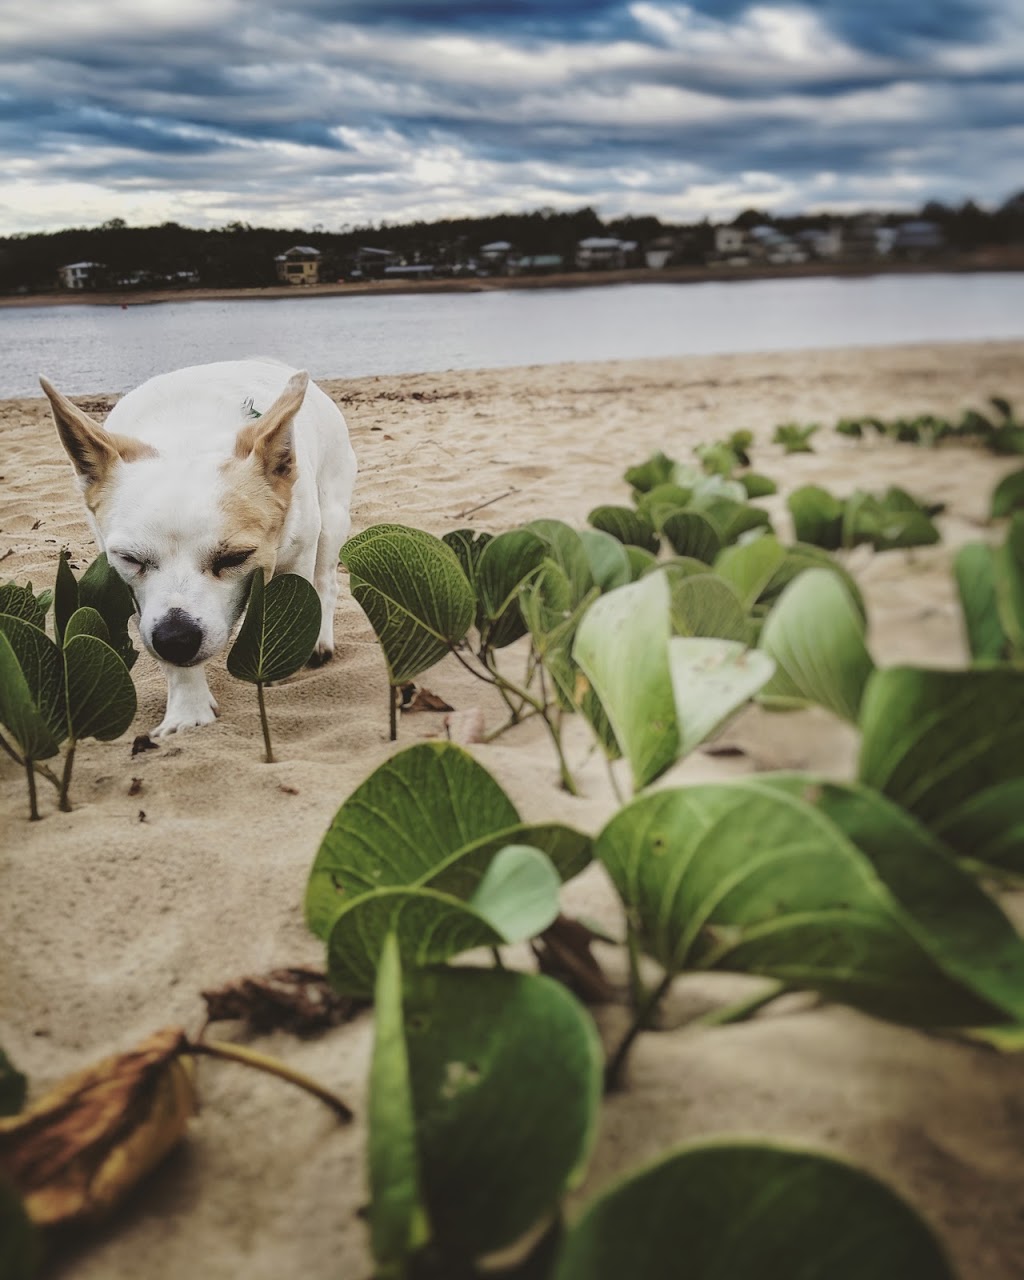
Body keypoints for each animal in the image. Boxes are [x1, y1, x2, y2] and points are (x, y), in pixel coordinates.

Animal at [40, 360, 358, 742]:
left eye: (235, 558)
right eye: (130, 559)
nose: (176, 638)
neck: (187, 434)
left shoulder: (296, 559)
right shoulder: (137, 595)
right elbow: (175, 667)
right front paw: (188, 710)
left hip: (331, 518)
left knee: (326, 581)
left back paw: (321, 640)